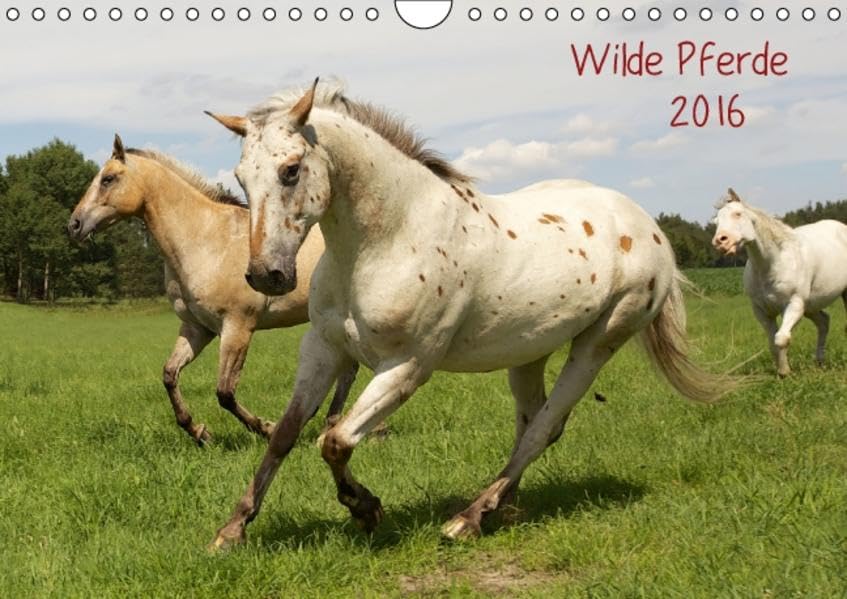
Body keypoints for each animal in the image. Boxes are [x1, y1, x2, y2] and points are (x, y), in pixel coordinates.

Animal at [68, 135, 358, 445]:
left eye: (108, 179)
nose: (73, 225)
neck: (206, 240)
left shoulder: (237, 327)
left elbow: (225, 392)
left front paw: (266, 428)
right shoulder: (197, 328)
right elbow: (169, 375)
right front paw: (199, 433)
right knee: (348, 370)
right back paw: (329, 427)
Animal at [205, 80, 737, 549]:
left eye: (292, 170)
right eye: (241, 178)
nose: (266, 275)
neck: (389, 236)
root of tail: (647, 226)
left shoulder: (407, 367)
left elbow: (334, 440)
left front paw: (366, 509)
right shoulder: (324, 349)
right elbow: (285, 435)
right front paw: (232, 531)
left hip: (597, 345)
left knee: (542, 429)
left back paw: (469, 518)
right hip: (530, 353)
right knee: (535, 424)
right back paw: (507, 508)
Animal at [712, 188, 847, 376]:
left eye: (738, 214)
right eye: (716, 221)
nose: (720, 241)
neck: (774, 263)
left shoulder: (794, 304)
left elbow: (781, 339)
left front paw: (785, 372)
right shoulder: (762, 311)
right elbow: (772, 343)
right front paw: (783, 371)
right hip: (811, 305)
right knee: (824, 322)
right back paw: (819, 361)